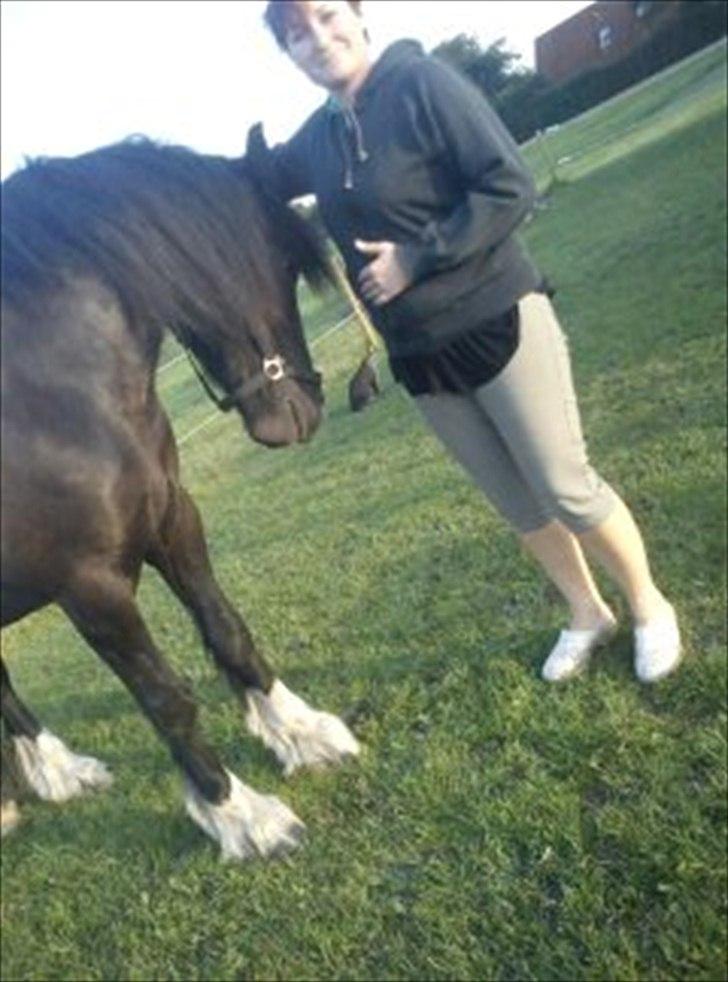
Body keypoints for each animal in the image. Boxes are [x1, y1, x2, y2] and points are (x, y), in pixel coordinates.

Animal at [0, 126, 360, 859]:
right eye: (287, 262)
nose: (305, 409)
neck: (46, 396)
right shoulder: (89, 585)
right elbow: (166, 699)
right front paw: (240, 815)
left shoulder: (171, 515)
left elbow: (227, 631)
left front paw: (299, 733)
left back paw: (58, 774)